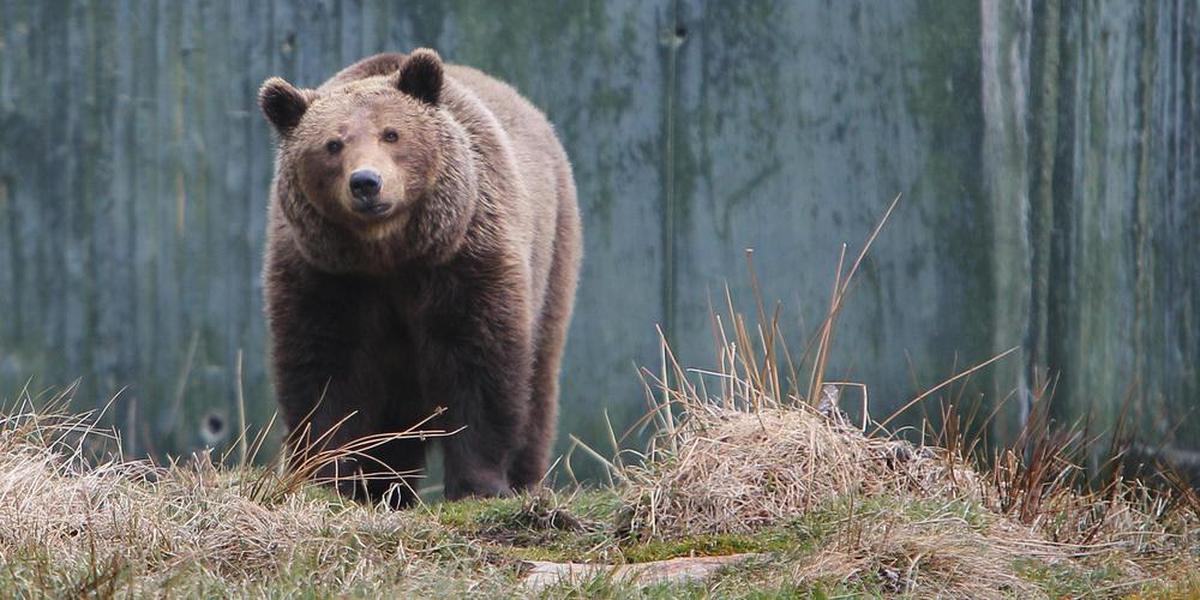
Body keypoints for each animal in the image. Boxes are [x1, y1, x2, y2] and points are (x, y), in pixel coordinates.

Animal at [258, 48, 580, 506]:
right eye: (333, 144)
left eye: (391, 134)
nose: (366, 183)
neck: (389, 254)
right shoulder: (325, 277)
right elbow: (323, 370)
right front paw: (328, 477)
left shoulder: (465, 263)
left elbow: (481, 365)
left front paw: (479, 485)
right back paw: (385, 488)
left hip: (552, 257)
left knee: (537, 386)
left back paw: (525, 479)